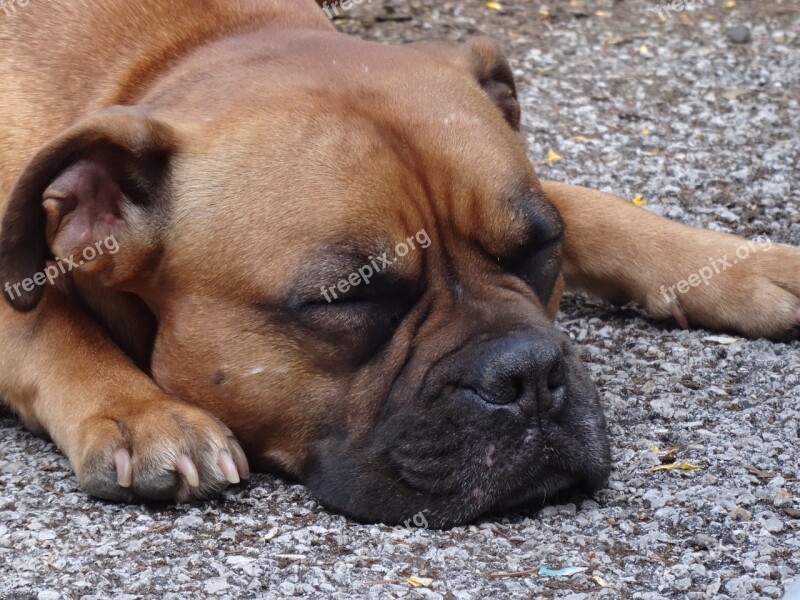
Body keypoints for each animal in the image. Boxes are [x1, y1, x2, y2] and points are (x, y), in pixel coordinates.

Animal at [1, 0, 800, 524]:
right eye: (347, 298)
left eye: (541, 248)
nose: (528, 375)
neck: (175, 54)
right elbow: (43, 325)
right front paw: (141, 412)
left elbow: (595, 207)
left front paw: (743, 263)